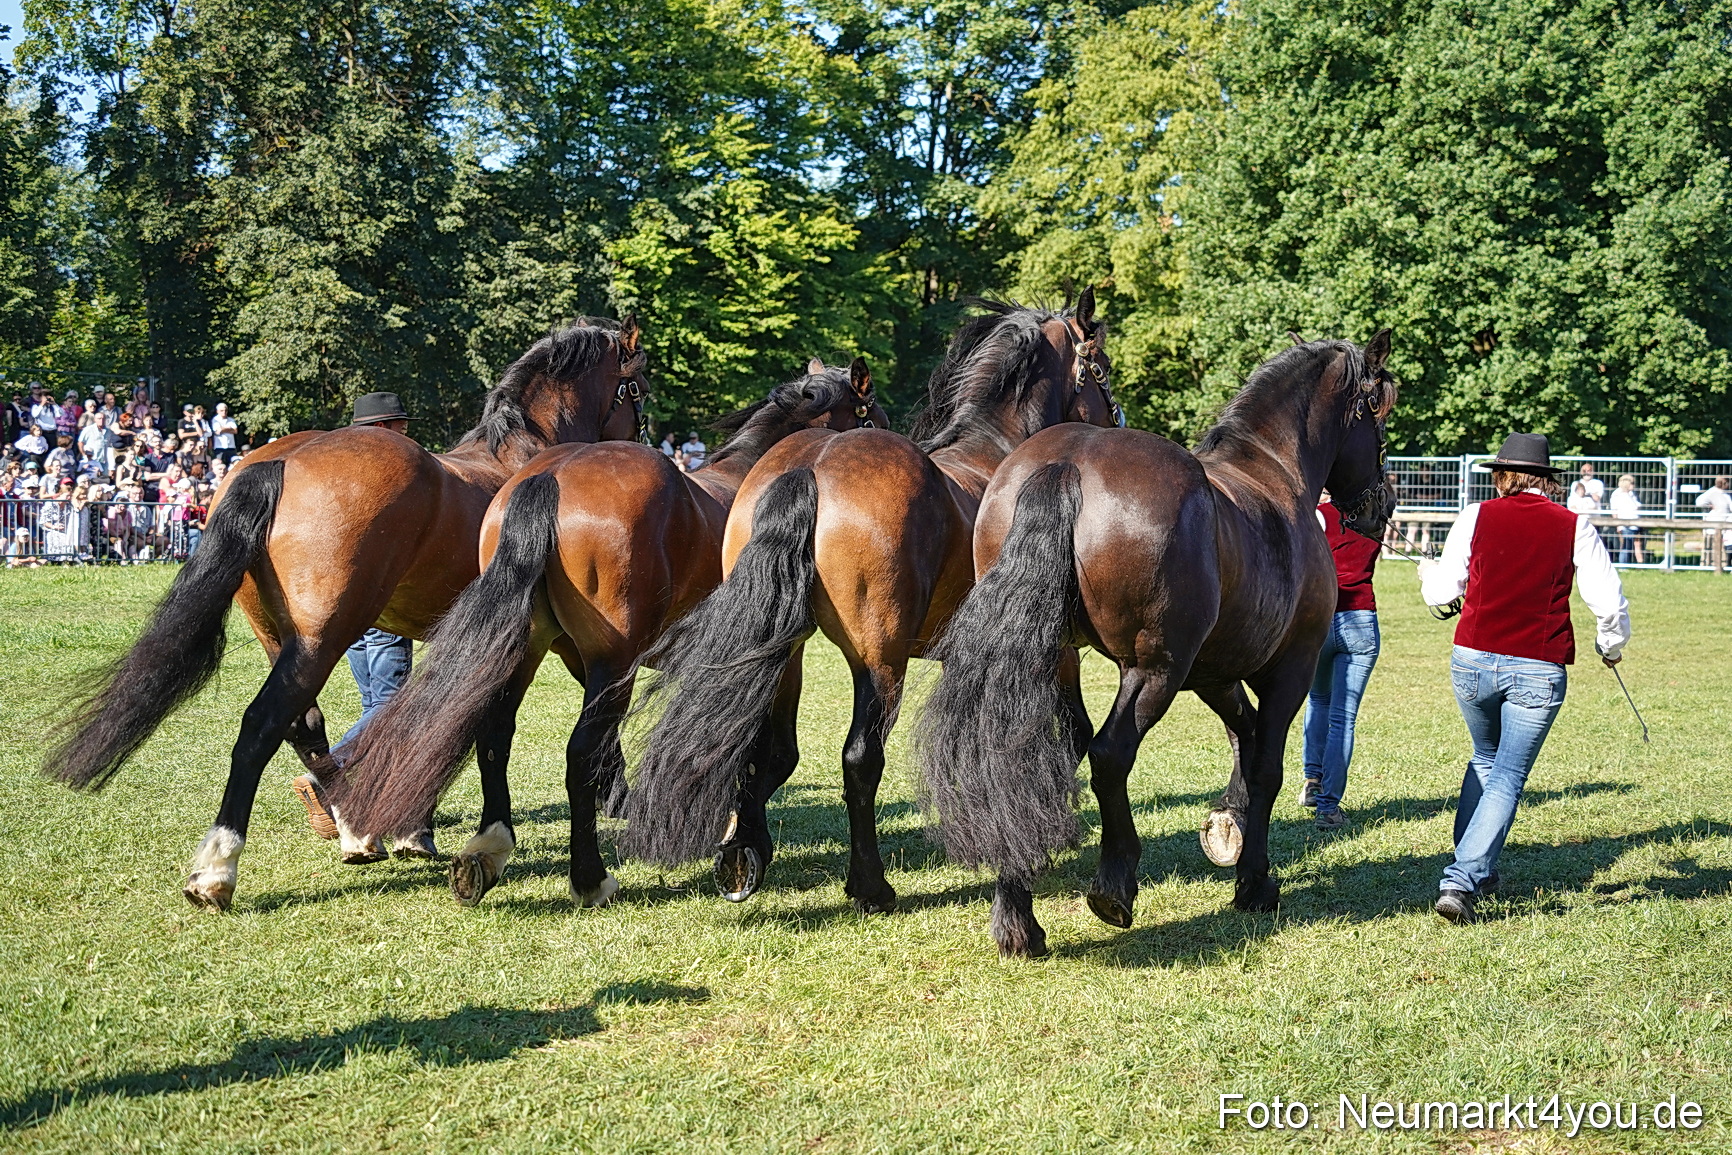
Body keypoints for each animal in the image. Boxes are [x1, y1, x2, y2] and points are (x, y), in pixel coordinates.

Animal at [42, 317, 651, 912]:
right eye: (638, 388)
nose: (646, 448)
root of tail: (278, 462)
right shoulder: (575, 642)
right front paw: (614, 799)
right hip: (323, 638)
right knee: (263, 723)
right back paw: (220, 867)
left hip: (281, 637)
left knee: (305, 727)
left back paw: (353, 829)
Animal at [318, 360, 891, 907]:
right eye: (871, 417)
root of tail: (550, 475)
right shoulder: (778, 656)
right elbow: (771, 753)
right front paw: (739, 837)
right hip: (614, 658)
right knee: (579, 752)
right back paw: (589, 878)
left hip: (530, 649)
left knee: (496, 736)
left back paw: (486, 851)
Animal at [622, 293, 1123, 914]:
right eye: (1100, 368)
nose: (1116, 421)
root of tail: (811, 465)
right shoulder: (1056, 650)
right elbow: (1072, 733)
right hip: (880, 658)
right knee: (860, 758)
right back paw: (870, 884)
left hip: (784, 649)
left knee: (767, 745)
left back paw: (744, 851)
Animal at [909, 332, 1395, 955]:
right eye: (1378, 411)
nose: (1381, 506)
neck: (1273, 474)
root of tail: (1066, 463)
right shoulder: (1289, 669)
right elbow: (1266, 765)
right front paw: (1254, 880)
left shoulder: (1213, 672)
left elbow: (1243, 736)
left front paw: (1228, 826)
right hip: (1153, 670)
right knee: (1109, 754)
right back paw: (1114, 885)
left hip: (1057, 659)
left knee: (1015, 752)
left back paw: (1018, 916)